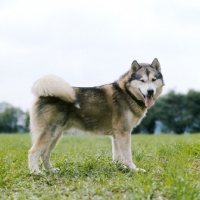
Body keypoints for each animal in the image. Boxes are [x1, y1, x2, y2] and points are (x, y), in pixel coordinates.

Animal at [28, 58, 164, 173]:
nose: (150, 91)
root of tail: (43, 94)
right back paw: (36, 172)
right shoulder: (123, 132)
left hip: (55, 135)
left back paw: (51, 171)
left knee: (44, 155)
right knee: (33, 152)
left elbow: (118, 156)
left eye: (153, 80)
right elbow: (127, 155)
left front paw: (121, 168)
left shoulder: (116, 135)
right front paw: (133, 169)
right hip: (49, 133)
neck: (128, 93)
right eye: (142, 80)